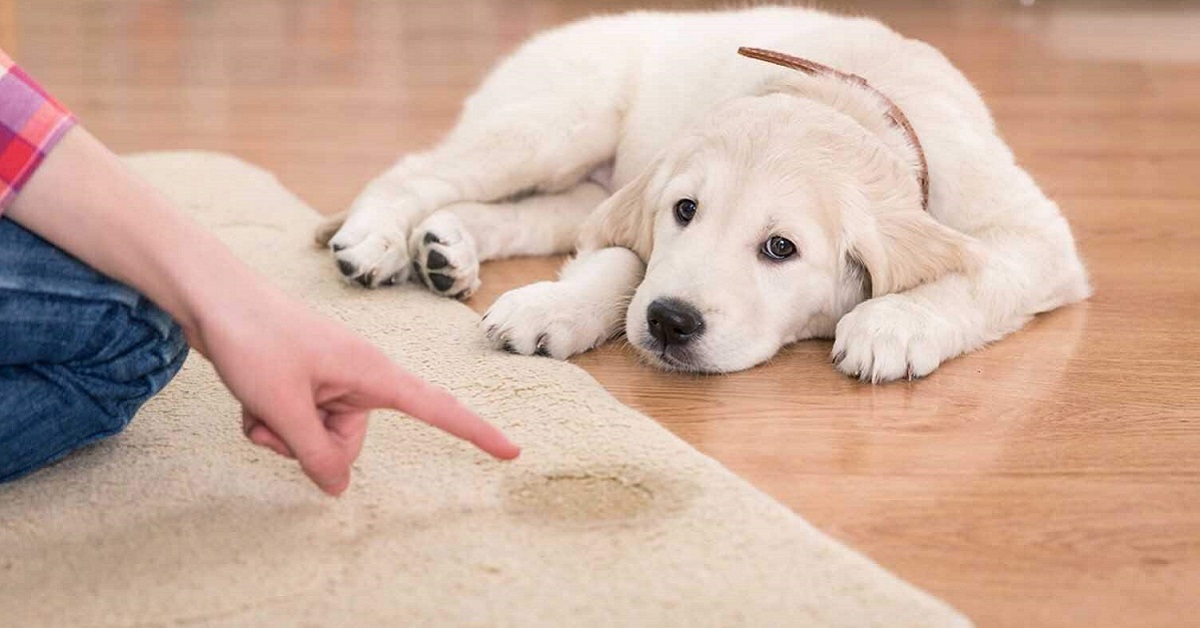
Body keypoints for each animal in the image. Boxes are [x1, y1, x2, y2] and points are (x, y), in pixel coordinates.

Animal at [316, 7, 1089, 384]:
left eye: (780, 248)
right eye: (685, 211)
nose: (669, 323)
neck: (850, 98)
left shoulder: (1036, 237)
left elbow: (980, 273)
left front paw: (893, 325)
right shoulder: (640, 205)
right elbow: (622, 262)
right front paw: (555, 306)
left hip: (577, 178)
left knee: (524, 214)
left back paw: (445, 248)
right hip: (557, 122)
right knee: (418, 170)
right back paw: (377, 240)